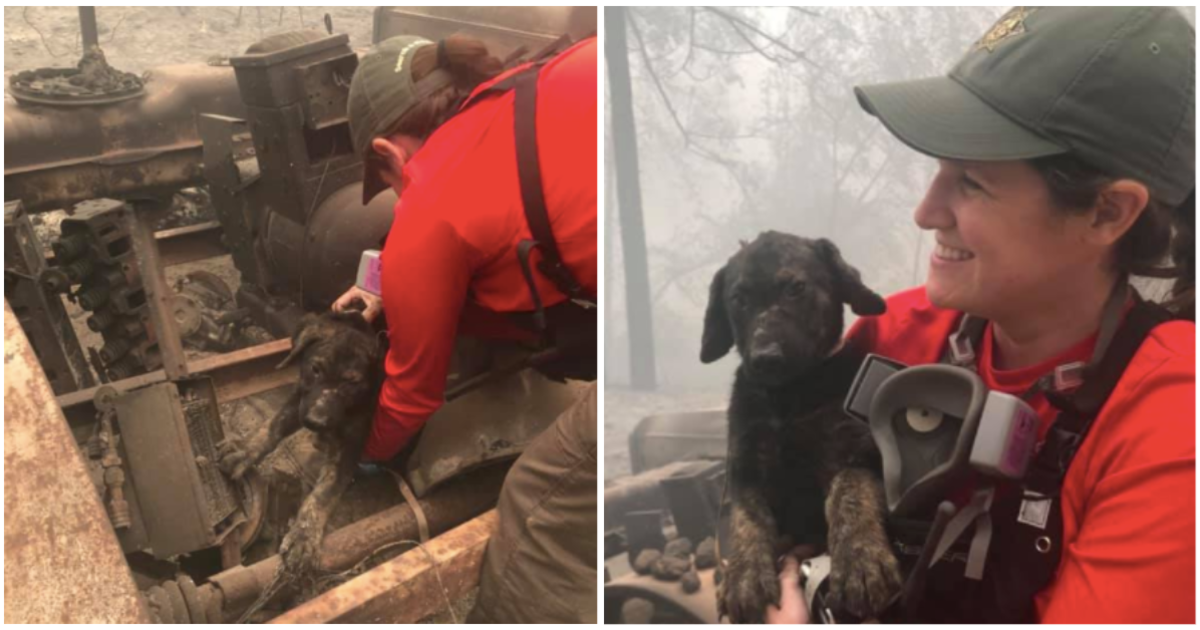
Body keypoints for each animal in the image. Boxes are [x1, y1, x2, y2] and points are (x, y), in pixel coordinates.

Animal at [218, 312, 381, 583]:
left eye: (351, 382)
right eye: (315, 369)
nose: (315, 422)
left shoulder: (350, 444)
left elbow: (324, 492)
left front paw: (303, 536)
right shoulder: (301, 399)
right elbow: (273, 425)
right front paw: (244, 450)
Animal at [700, 229, 902, 619]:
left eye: (796, 288)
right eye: (738, 300)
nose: (765, 359)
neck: (791, 396)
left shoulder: (859, 453)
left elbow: (849, 490)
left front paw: (859, 559)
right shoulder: (745, 468)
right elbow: (747, 517)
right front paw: (744, 576)